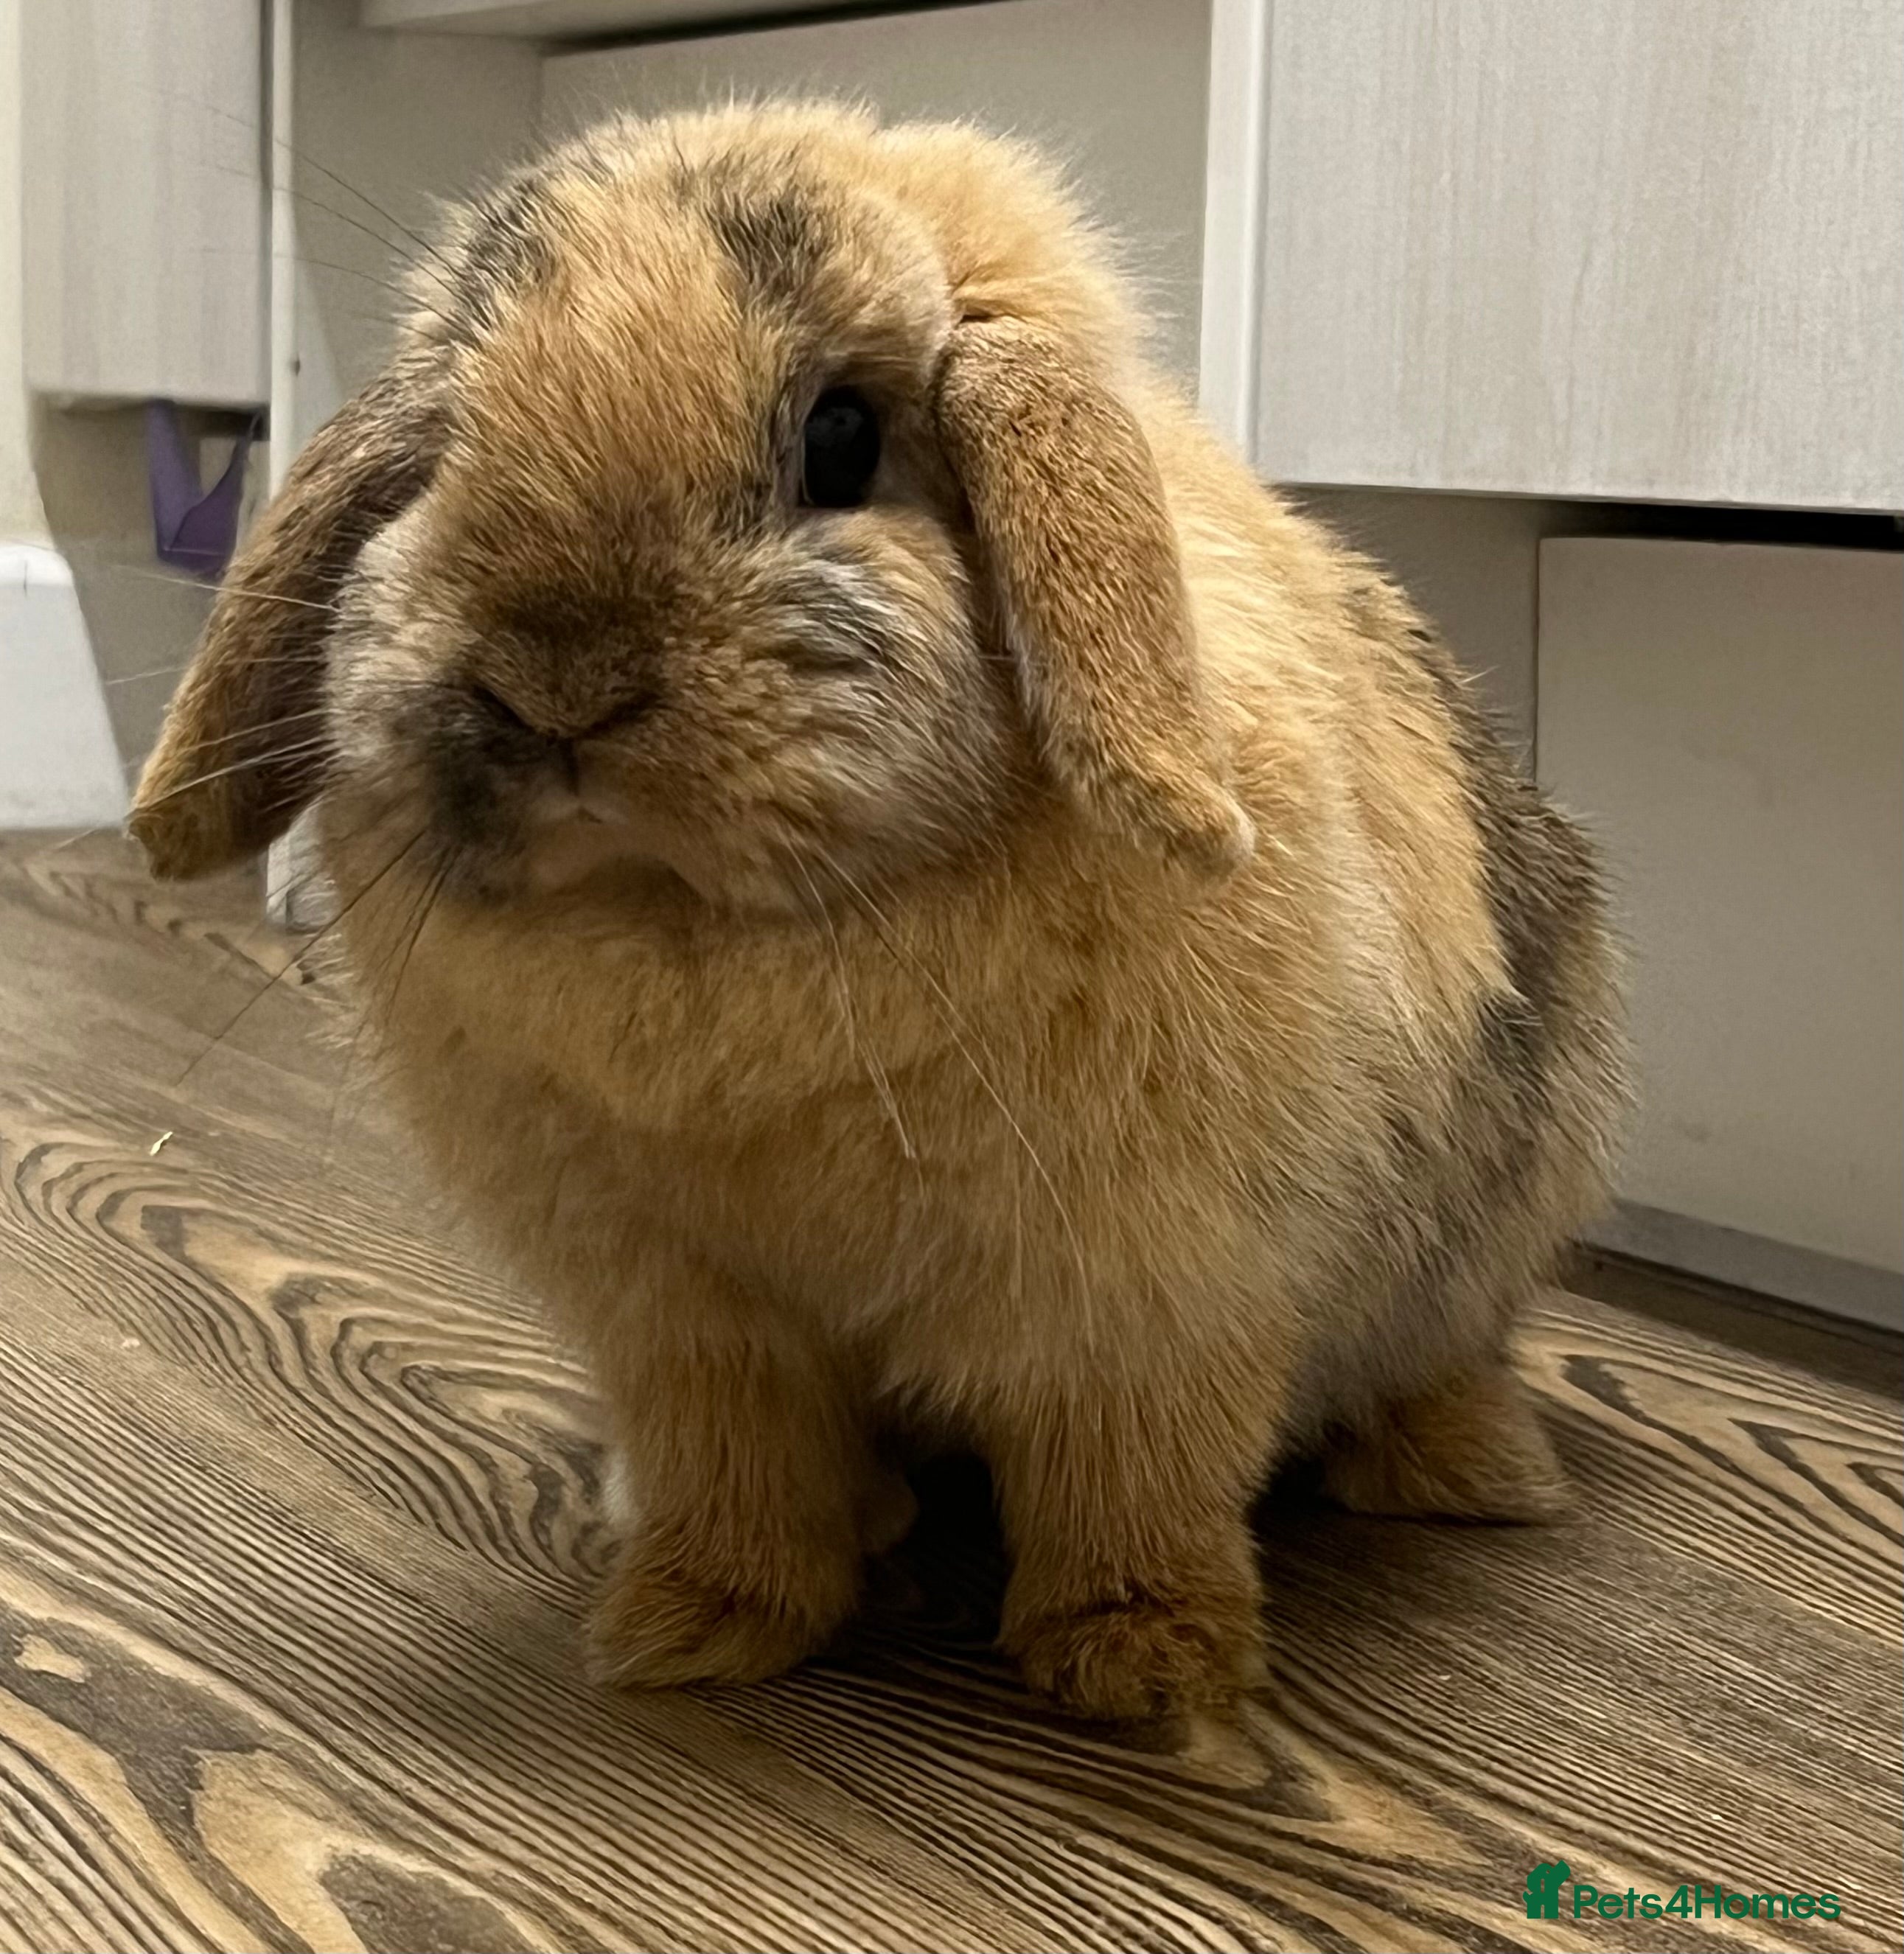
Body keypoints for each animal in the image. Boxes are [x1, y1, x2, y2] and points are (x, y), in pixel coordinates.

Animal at [130, 102, 1626, 1725]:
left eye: (839, 437)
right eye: (448, 443)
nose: (555, 688)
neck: (714, 929)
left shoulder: (1151, 1301)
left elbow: (1136, 1479)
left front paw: (1137, 1660)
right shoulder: (691, 1325)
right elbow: (740, 1472)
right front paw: (689, 1627)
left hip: (1487, 1230)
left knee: (1434, 1358)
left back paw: (1465, 1472)